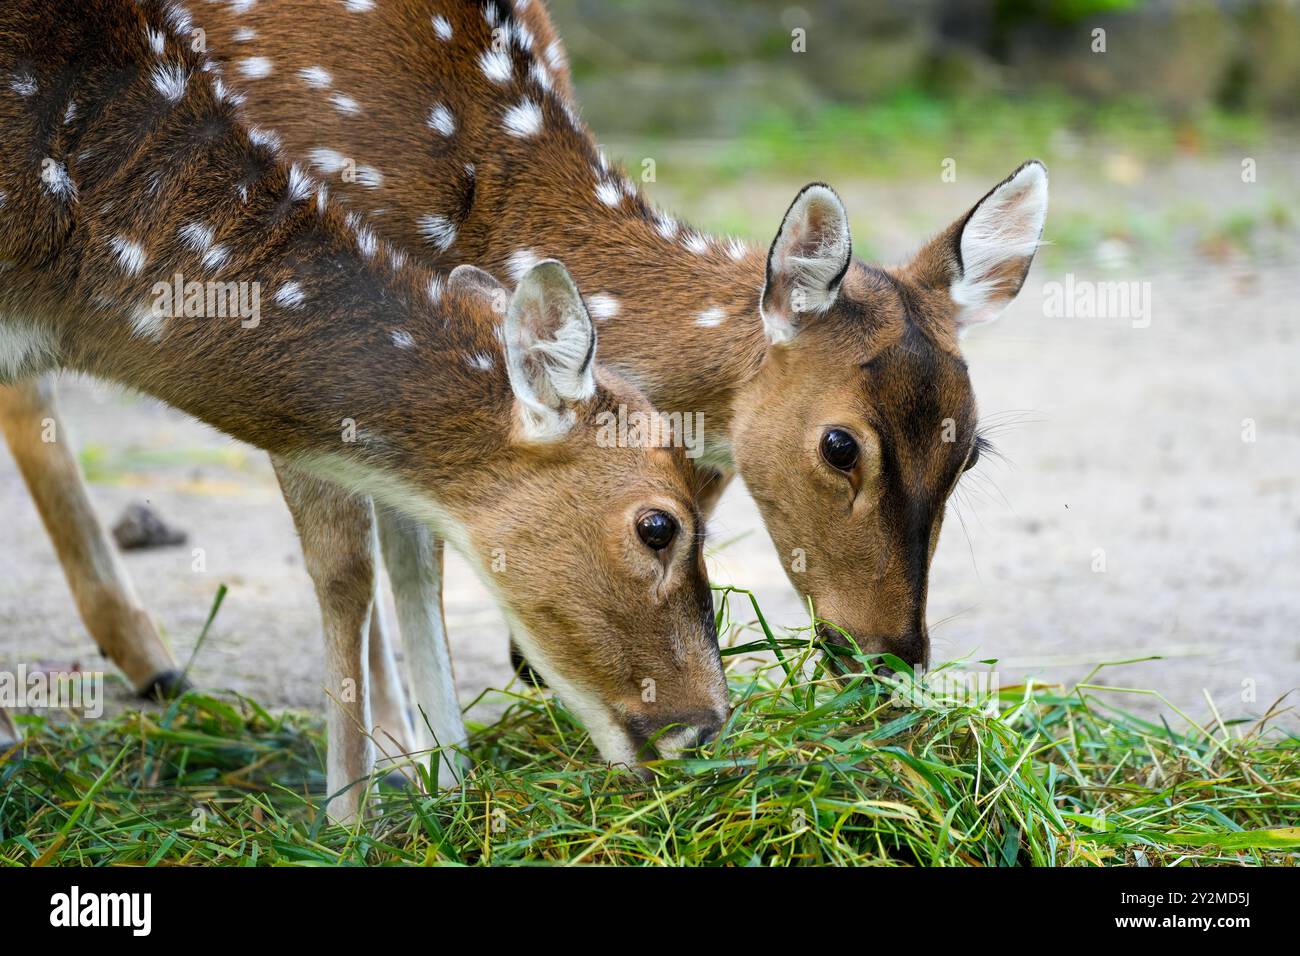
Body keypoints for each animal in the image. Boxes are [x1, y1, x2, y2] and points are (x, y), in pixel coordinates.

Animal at [0, 0, 730, 822]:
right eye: (658, 526)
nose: (706, 722)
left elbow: (408, 550)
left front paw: (448, 787)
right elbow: (350, 562)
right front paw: (352, 813)